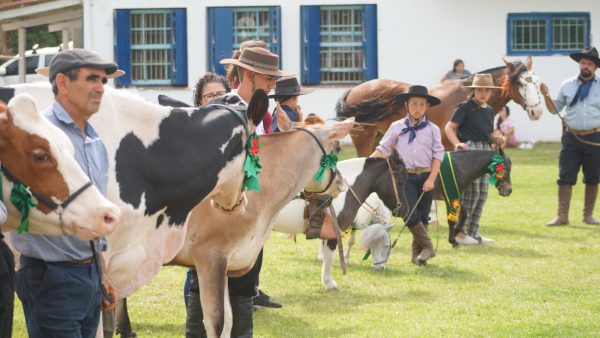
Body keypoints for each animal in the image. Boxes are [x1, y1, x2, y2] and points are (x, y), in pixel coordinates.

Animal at [338, 57, 544, 154]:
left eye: (537, 82)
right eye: (520, 83)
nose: (537, 111)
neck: (468, 95)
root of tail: (355, 90)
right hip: (363, 140)